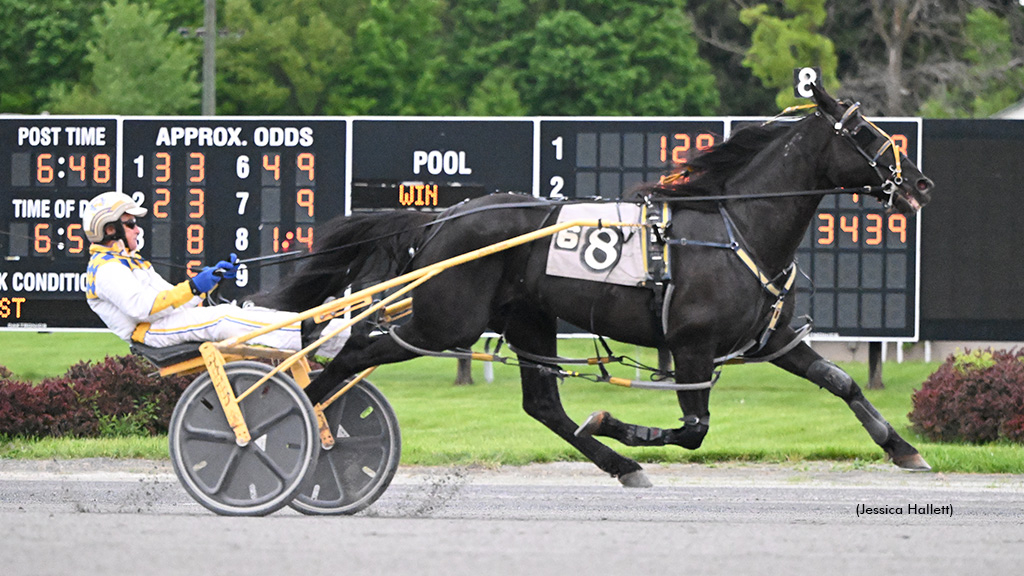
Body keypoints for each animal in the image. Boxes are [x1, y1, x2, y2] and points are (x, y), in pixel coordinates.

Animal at [258, 83, 937, 481]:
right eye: (868, 134)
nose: (921, 183)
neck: (738, 224)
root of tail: (440, 217)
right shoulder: (692, 345)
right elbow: (693, 430)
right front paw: (614, 421)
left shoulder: (771, 338)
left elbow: (843, 382)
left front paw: (903, 448)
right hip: (443, 322)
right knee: (354, 351)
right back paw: (295, 418)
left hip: (526, 318)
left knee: (542, 405)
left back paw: (620, 465)